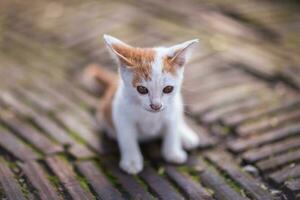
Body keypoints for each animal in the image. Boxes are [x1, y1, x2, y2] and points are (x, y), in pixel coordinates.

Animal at [85, 35, 200, 174]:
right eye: (142, 89)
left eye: (168, 89)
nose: (156, 106)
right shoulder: (121, 113)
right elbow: (127, 138)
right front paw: (132, 161)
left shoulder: (173, 107)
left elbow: (172, 129)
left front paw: (172, 152)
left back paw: (185, 135)